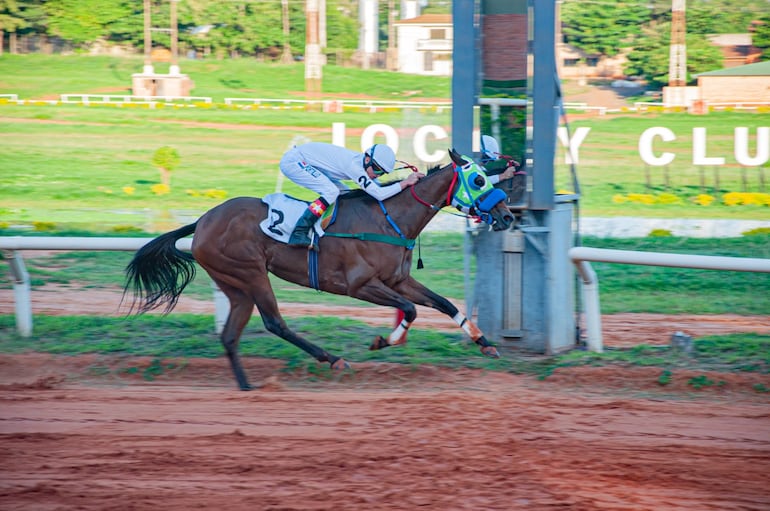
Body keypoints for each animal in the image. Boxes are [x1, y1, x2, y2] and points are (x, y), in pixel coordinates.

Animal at [123, 149, 515, 390]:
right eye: (478, 181)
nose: (507, 216)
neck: (389, 218)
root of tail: (203, 220)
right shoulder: (360, 285)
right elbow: (411, 309)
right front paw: (380, 342)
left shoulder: (399, 279)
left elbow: (443, 304)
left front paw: (485, 343)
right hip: (251, 273)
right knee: (275, 322)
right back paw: (333, 359)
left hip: (235, 284)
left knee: (231, 335)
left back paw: (247, 385)